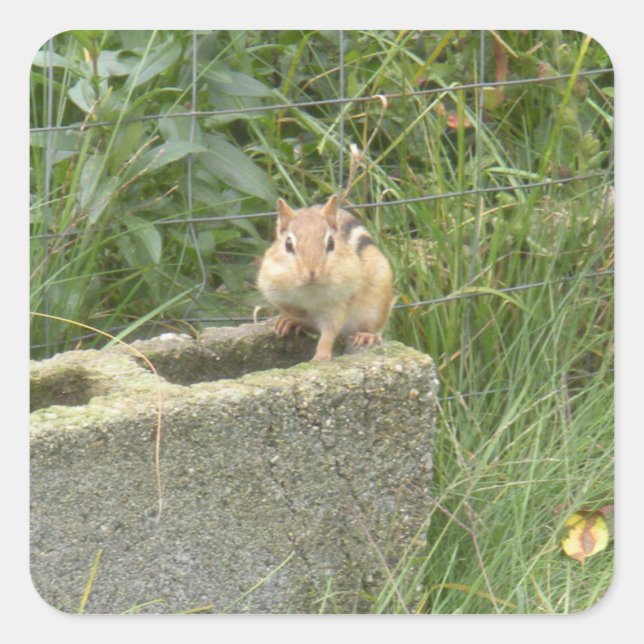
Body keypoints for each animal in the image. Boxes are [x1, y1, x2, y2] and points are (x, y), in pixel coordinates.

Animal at [257, 194, 395, 361]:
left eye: (330, 243)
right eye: (288, 244)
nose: (312, 272)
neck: (310, 290)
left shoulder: (337, 303)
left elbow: (329, 332)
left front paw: (320, 357)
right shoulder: (271, 283)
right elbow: (289, 306)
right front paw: (296, 315)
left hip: (376, 306)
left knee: (370, 328)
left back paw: (366, 336)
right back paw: (290, 321)